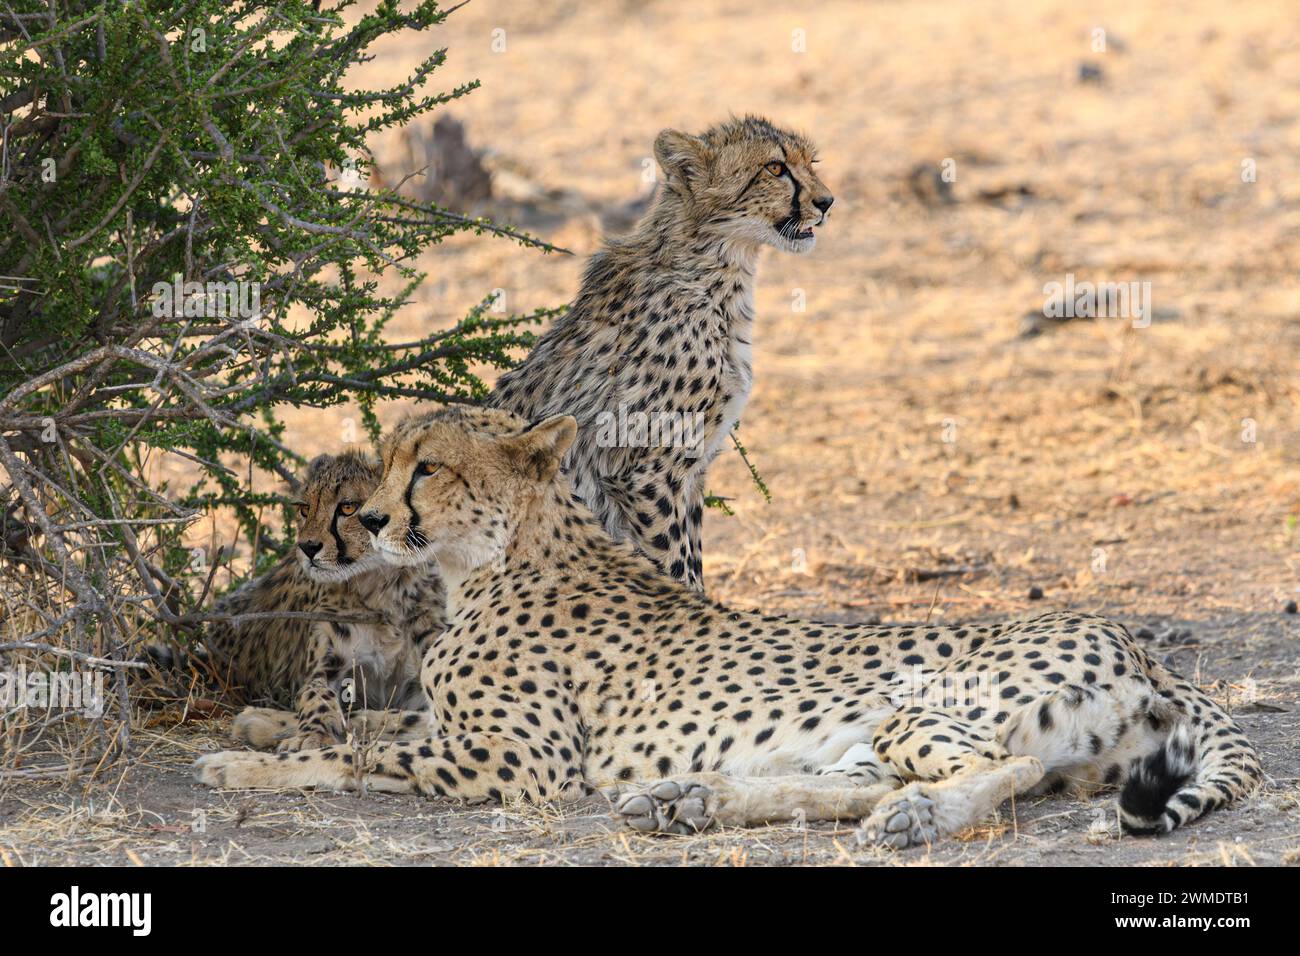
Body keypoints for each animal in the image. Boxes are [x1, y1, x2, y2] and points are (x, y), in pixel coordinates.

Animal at [201, 450, 441, 752]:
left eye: (348, 508)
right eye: (305, 508)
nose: (307, 547)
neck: (381, 587)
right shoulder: (325, 669)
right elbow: (315, 695)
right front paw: (314, 733)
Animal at [491, 115, 834, 591]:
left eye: (810, 162)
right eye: (775, 168)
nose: (827, 202)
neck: (713, 269)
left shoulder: (692, 471)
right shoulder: (646, 473)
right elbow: (676, 571)